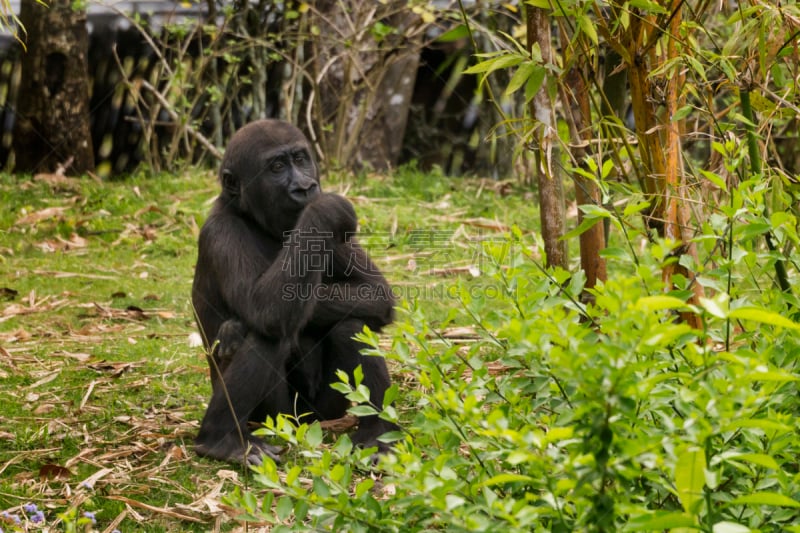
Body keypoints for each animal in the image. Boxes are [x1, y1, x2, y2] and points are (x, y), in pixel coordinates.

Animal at [191, 118, 396, 464]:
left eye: (300, 159)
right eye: (276, 167)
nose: (305, 187)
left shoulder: (327, 234)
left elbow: (376, 294)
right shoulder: (221, 233)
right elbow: (266, 311)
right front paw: (325, 206)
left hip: (322, 414)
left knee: (352, 325)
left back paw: (375, 433)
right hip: (279, 420)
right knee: (269, 333)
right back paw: (221, 439)